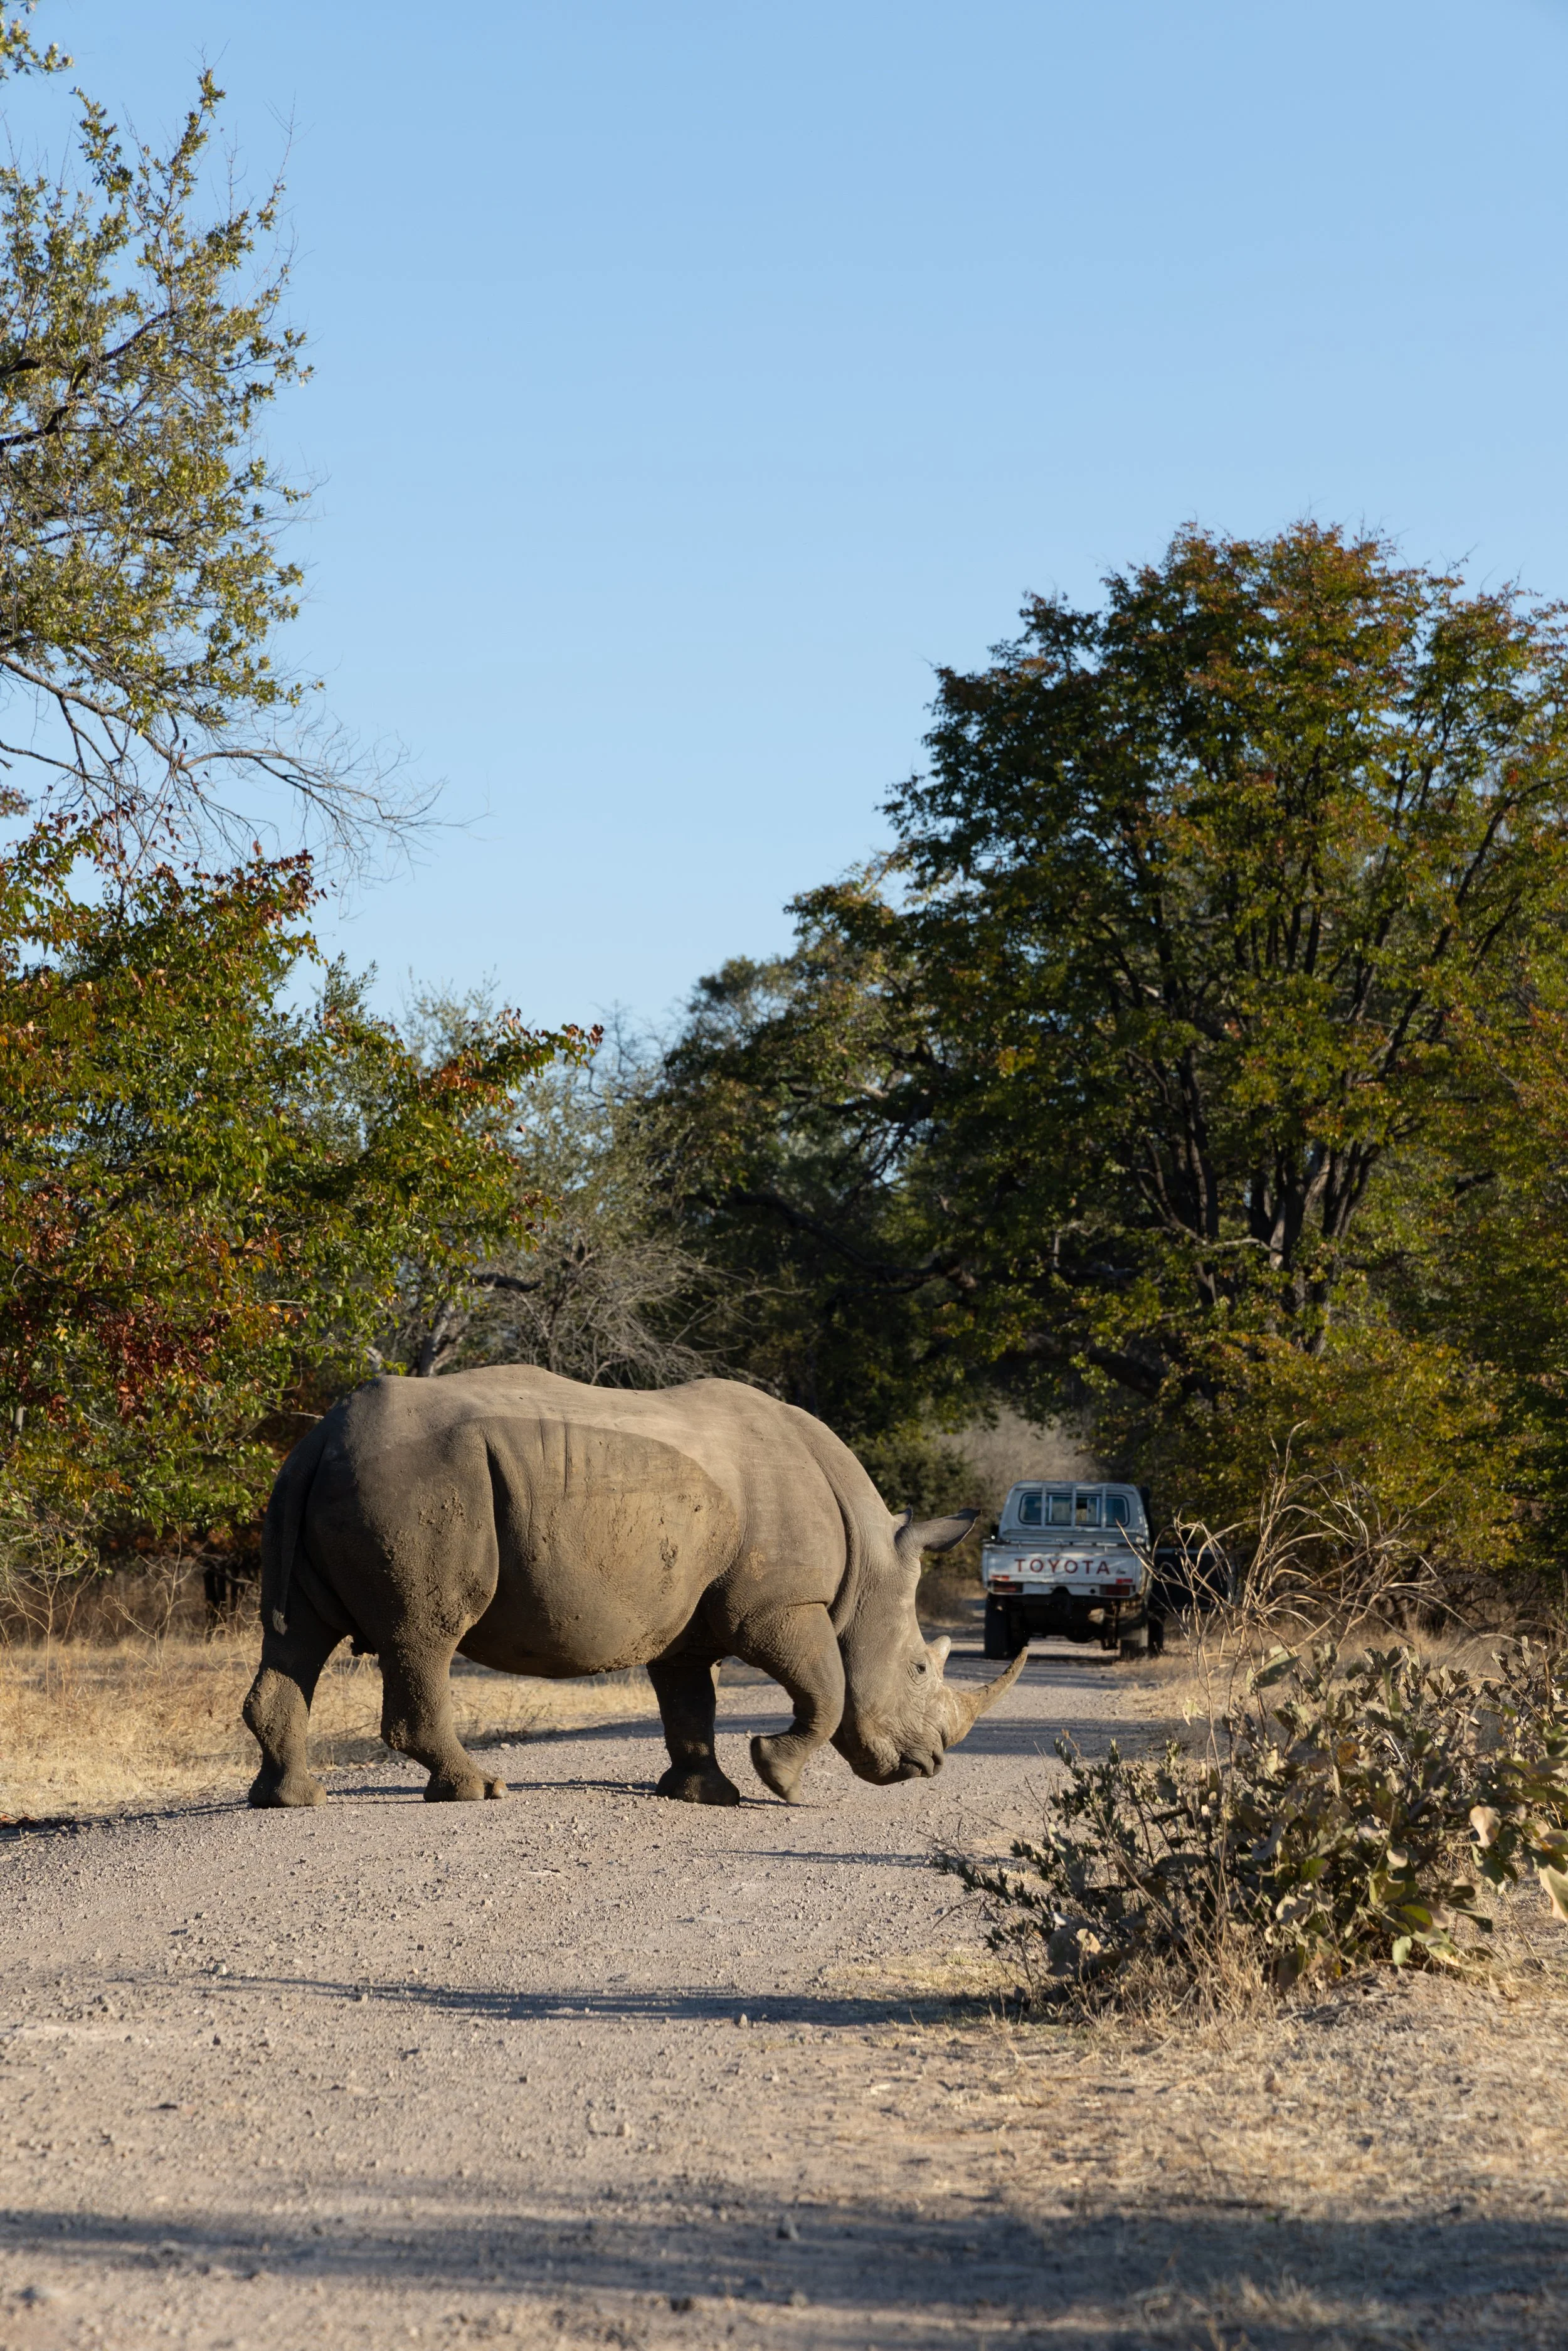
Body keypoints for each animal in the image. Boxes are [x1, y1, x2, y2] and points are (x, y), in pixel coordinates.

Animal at [243, 1367, 1026, 1809]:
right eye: (919, 1667)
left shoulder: (691, 1618)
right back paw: (479, 1791)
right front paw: (780, 1780)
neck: (868, 1564)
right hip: (417, 1485)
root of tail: (320, 1438)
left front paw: (707, 1795)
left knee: (297, 1635)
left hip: (328, 1482)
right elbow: (826, 1689)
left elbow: (690, 1702)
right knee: (425, 1634)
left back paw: (294, 1800)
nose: (929, 1766)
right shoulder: (778, 1606)